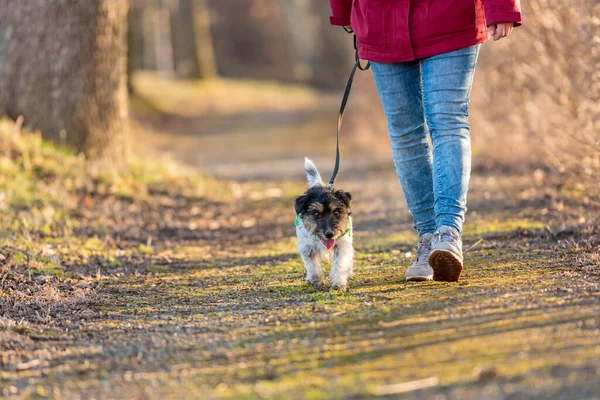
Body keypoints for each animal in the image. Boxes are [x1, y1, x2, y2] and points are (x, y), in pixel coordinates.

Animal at [294, 158, 354, 292]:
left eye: (336, 212)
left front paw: (338, 284)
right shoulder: (306, 248)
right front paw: (316, 282)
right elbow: (312, 267)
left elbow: (339, 264)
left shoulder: (342, 245)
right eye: (316, 213)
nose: (329, 234)